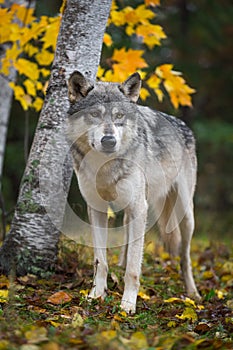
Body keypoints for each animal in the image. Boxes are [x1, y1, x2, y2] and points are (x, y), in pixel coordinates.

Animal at [66, 71, 200, 314]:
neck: (105, 167)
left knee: (184, 257)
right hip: (132, 211)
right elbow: (100, 261)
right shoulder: (97, 209)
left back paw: (193, 293)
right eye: (94, 114)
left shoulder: (139, 208)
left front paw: (127, 304)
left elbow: (134, 269)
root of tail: (181, 123)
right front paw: (96, 295)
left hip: (185, 215)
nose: (109, 141)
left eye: (119, 115)